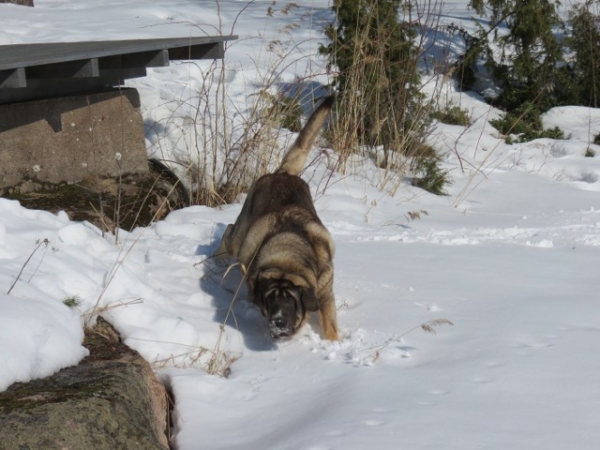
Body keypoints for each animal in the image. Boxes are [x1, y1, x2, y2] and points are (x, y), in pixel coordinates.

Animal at [214, 96, 338, 342]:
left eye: (291, 299)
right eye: (270, 298)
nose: (278, 322)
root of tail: (284, 173)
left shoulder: (325, 292)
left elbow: (330, 326)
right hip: (240, 236)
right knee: (230, 231)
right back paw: (217, 259)